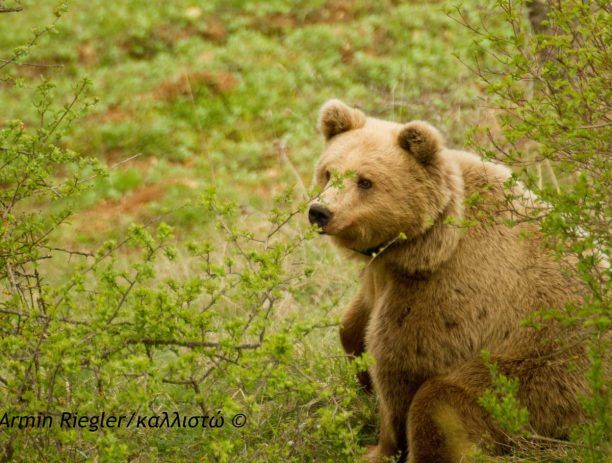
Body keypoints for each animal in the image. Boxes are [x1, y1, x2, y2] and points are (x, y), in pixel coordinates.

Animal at [310, 99, 588, 462]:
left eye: (365, 181)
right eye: (329, 172)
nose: (320, 211)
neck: (424, 243)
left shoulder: (448, 291)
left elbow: (399, 365)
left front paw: (378, 447)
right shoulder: (384, 275)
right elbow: (353, 325)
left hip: (539, 376)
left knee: (439, 401)